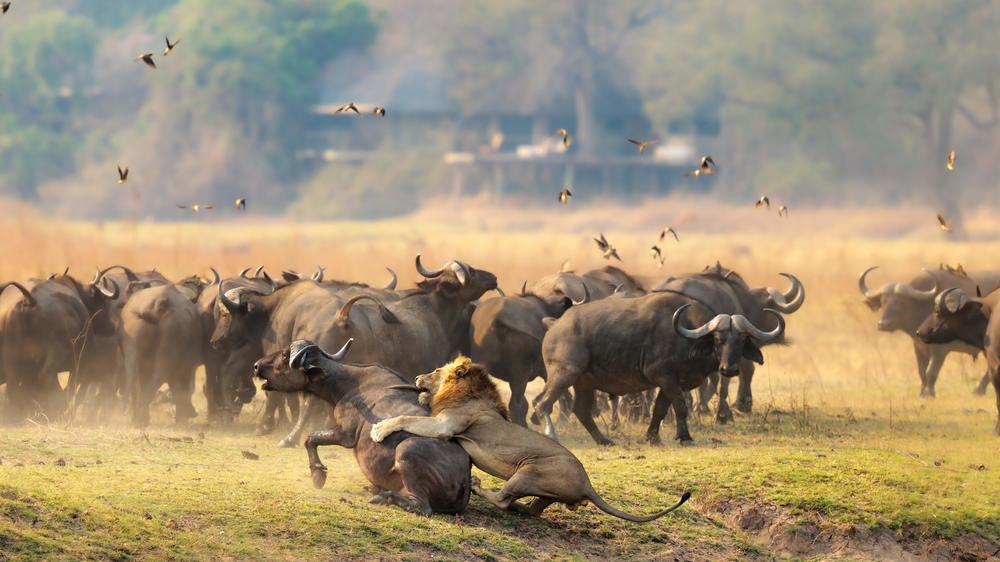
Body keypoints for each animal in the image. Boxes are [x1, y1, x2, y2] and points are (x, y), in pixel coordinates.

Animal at [370, 356, 691, 521]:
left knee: (502, 499)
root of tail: (587, 484)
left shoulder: (445, 426)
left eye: (436, 370)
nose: (417, 377)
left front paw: (380, 429)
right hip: (545, 493)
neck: (466, 395)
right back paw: (517, 506)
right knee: (531, 509)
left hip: (528, 471)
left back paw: (478, 486)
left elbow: (406, 418)